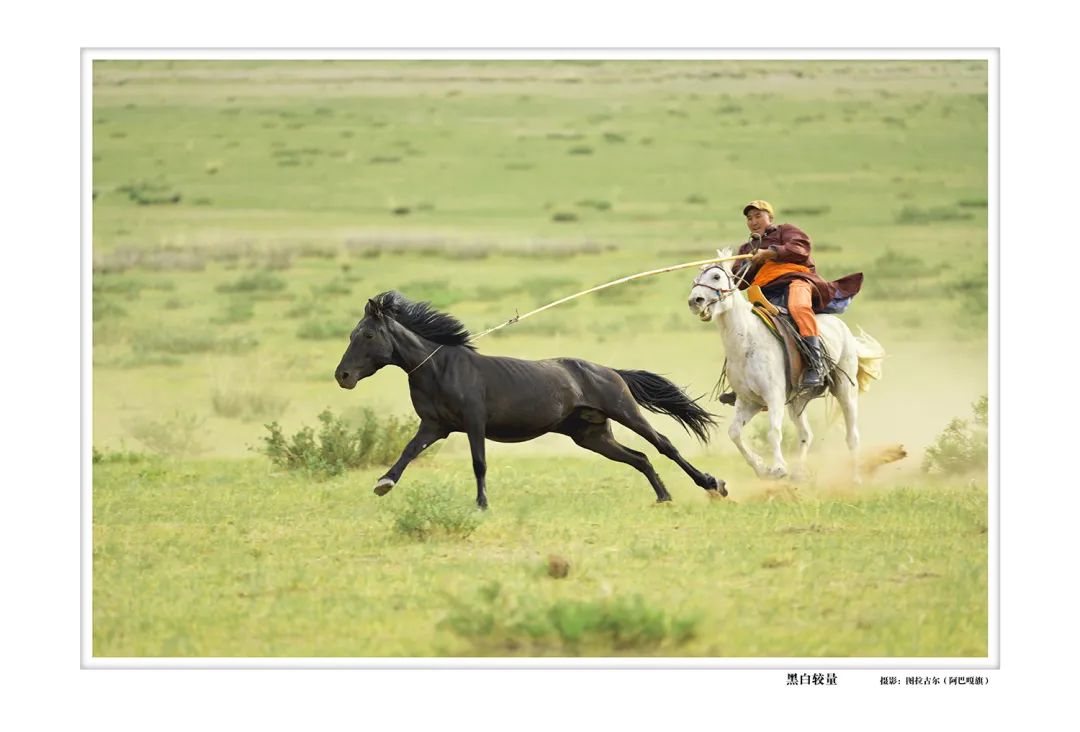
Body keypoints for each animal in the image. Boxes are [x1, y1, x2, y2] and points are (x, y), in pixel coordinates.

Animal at [334, 291, 727, 508]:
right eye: (353, 333)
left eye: (367, 335)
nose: (343, 376)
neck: (440, 368)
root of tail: (609, 370)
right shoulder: (435, 426)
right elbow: (408, 452)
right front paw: (384, 484)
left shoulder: (474, 422)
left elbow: (479, 463)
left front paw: (481, 504)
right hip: (591, 435)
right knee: (640, 458)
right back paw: (663, 497)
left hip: (625, 412)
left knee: (663, 445)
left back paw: (713, 484)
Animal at [686, 249, 885, 482]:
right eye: (696, 278)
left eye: (716, 276)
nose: (695, 301)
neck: (747, 341)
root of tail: (841, 327)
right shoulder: (748, 401)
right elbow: (734, 433)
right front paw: (761, 468)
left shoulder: (774, 397)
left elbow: (773, 432)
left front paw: (779, 468)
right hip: (798, 400)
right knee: (806, 434)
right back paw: (799, 473)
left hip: (845, 389)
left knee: (852, 435)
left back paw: (855, 478)